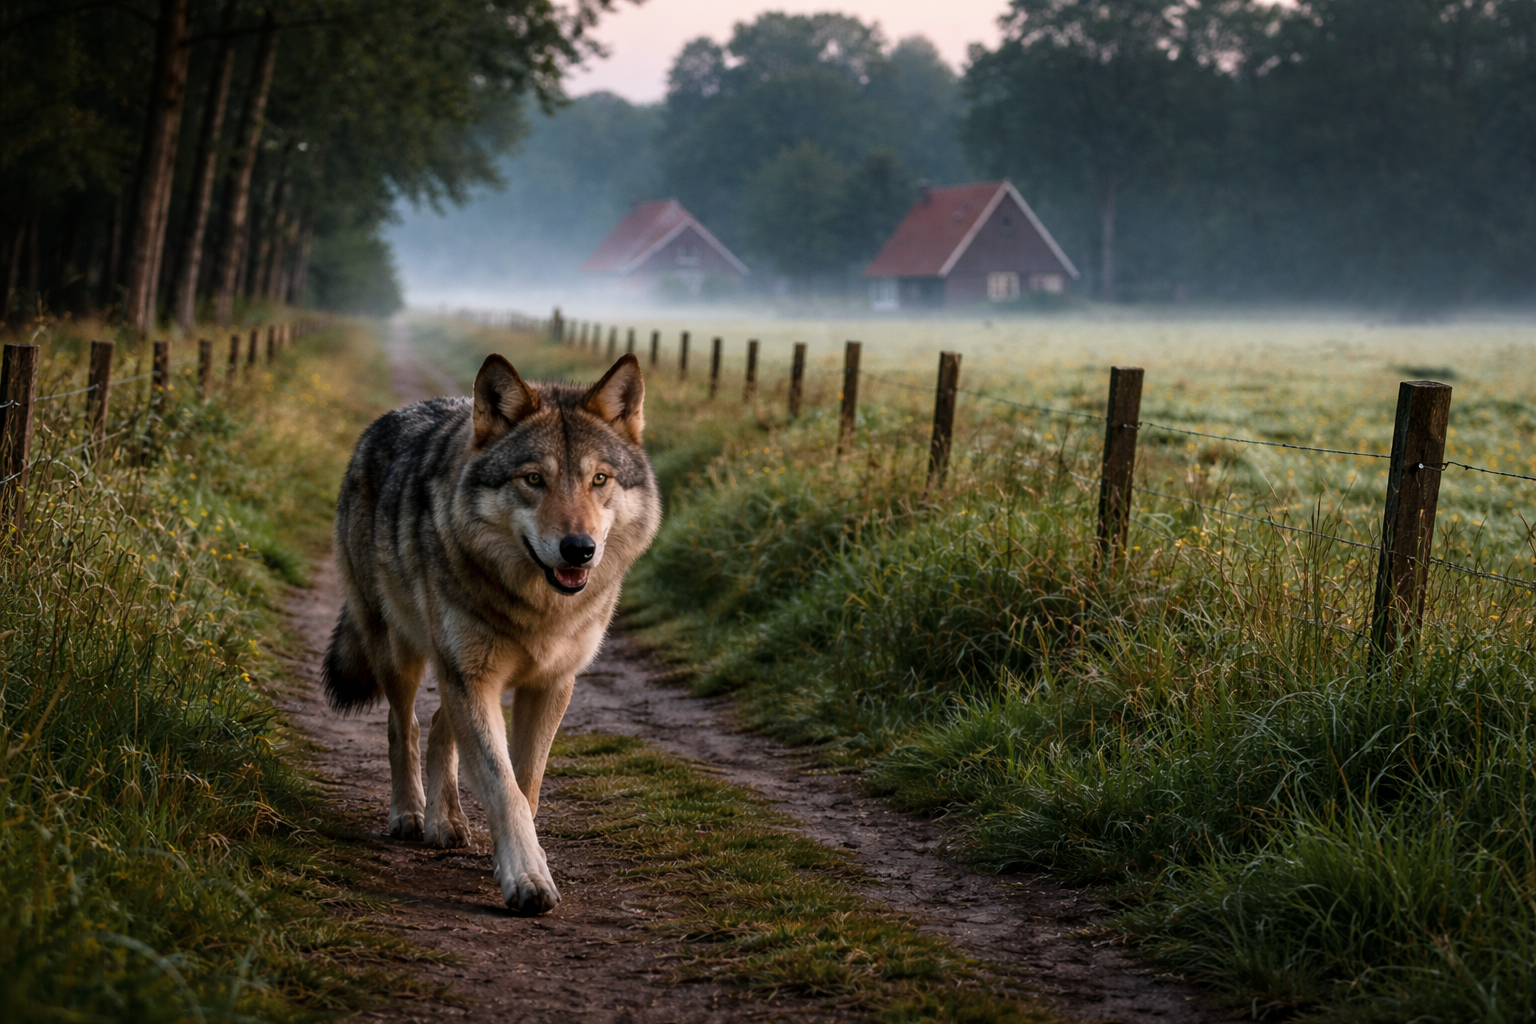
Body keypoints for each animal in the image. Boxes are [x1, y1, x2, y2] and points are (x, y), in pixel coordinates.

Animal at [323, 353, 660, 915]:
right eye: (534, 479)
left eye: (599, 479)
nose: (579, 549)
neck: (538, 607)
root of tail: (383, 422)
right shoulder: (472, 678)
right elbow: (503, 786)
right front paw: (527, 877)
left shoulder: (549, 684)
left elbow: (526, 783)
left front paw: (515, 861)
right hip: (401, 652)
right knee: (404, 726)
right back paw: (410, 815)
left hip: (452, 672)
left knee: (440, 726)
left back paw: (446, 822)